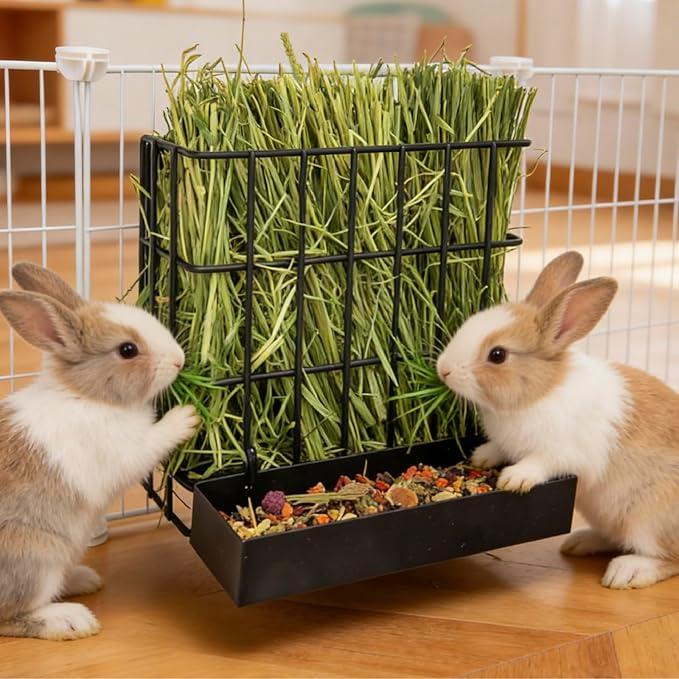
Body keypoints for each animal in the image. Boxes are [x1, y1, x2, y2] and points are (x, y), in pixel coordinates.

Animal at [0, 262, 199, 640]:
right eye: (127, 350)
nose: (180, 360)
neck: (87, 395)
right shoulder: (124, 452)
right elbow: (153, 442)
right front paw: (187, 417)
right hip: (37, 556)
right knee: (11, 615)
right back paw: (71, 619)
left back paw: (84, 579)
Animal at [436, 250, 679, 590]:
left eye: (497, 355)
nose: (443, 369)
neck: (539, 392)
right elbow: (498, 449)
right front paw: (481, 457)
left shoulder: (564, 452)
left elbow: (542, 462)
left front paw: (514, 479)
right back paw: (579, 542)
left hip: (649, 519)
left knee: (668, 558)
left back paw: (626, 573)